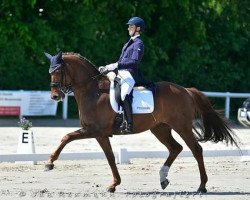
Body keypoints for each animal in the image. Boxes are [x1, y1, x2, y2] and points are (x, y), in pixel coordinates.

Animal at [44, 52, 238, 194]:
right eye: (50, 72)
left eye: (58, 71)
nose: (55, 96)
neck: (93, 92)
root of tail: (186, 90)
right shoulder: (101, 134)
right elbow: (110, 158)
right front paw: (114, 184)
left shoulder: (94, 130)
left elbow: (66, 137)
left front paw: (50, 163)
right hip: (160, 128)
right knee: (175, 148)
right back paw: (163, 179)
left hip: (181, 126)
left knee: (196, 149)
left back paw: (202, 186)